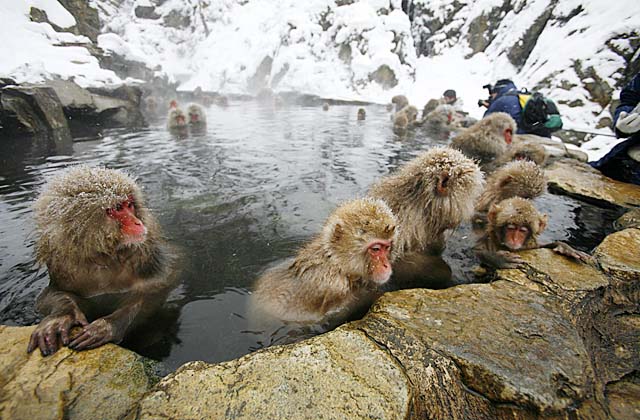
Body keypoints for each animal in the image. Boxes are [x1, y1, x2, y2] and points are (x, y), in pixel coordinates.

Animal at [26, 166, 178, 356]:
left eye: (130, 205)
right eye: (118, 208)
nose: (138, 223)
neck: (102, 256)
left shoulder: (146, 260)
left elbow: (155, 291)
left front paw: (107, 326)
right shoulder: (63, 266)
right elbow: (48, 296)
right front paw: (59, 317)